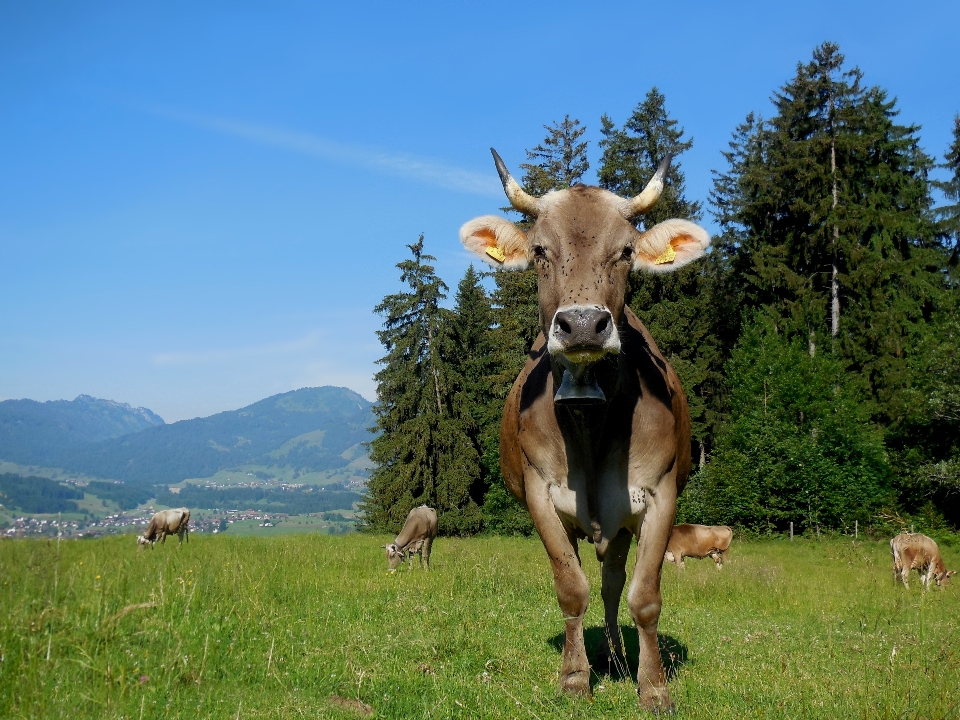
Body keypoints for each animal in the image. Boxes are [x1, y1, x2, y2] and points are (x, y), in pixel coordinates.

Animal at [460, 149, 712, 712]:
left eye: (625, 251)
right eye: (539, 251)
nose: (580, 326)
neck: (590, 422)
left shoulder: (660, 493)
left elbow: (644, 597)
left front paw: (653, 686)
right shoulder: (539, 493)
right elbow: (570, 588)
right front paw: (574, 678)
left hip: (619, 526)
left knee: (614, 584)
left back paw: (618, 656)